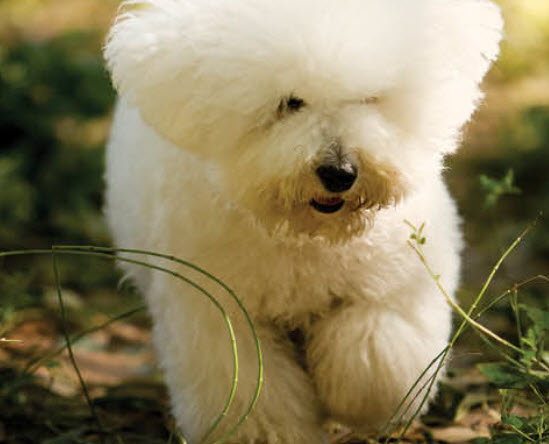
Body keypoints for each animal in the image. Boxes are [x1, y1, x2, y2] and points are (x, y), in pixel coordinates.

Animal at [103, 0, 500, 440]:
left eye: (368, 98)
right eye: (290, 103)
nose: (339, 172)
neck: (306, 235)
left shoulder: (390, 284)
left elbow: (374, 357)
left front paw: (362, 403)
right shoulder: (220, 312)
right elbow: (251, 395)